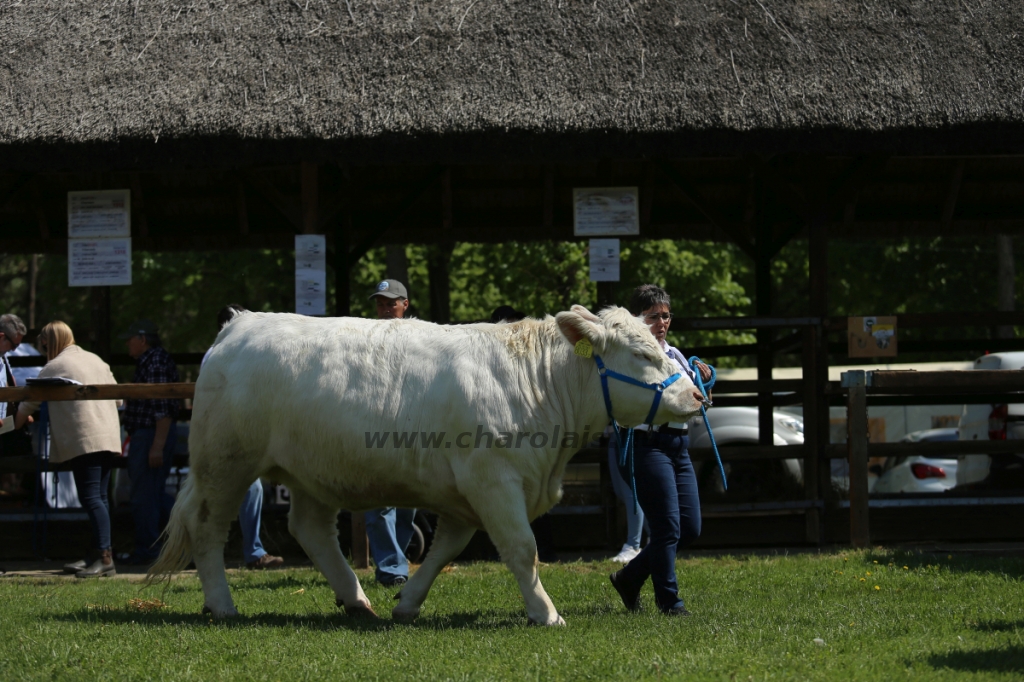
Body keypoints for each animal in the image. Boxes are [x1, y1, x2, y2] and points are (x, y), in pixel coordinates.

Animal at [148, 305, 704, 622]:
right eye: (643, 354)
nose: (698, 395)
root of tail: (240, 324)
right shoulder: (493, 480)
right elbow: (522, 549)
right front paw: (545, 613)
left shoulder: (466, 495)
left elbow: (444, 552)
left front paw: (408, 603)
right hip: (225, 463)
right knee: (207, 528)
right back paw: (222, 605)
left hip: (311, 469)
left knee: (309, 528)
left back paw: (356, 600)